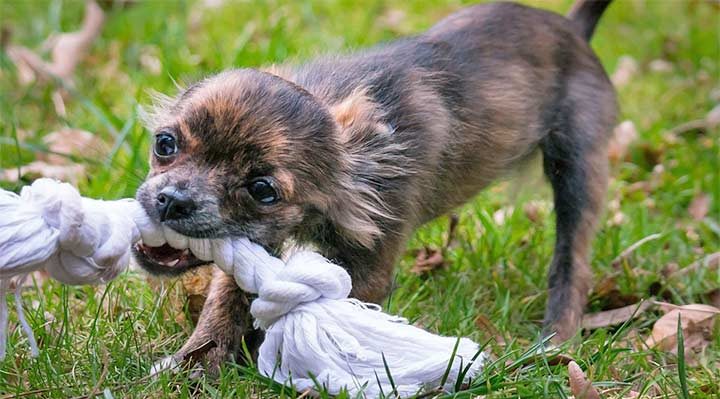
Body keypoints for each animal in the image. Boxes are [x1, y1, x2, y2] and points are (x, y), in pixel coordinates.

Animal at [136, 0, 620, 376]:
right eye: (165, 144)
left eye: (262, 190)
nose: (172, 201)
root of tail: (574, 30)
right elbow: (224, 304)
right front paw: (194, 367)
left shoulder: (368, 267)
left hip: (578, 171)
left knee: (572, 263)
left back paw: (554, 341)